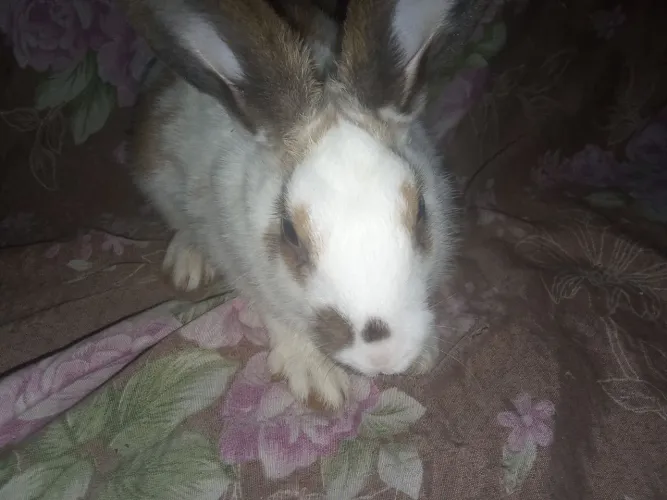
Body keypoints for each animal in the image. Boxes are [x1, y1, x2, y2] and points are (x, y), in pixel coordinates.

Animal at [121, 0, 459, 411]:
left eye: (421, 210)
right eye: (290, 232)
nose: (383, 358)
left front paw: (423, 354)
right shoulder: (246, 270)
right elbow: (279, 316)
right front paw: (317, 380)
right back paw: (188, 264)